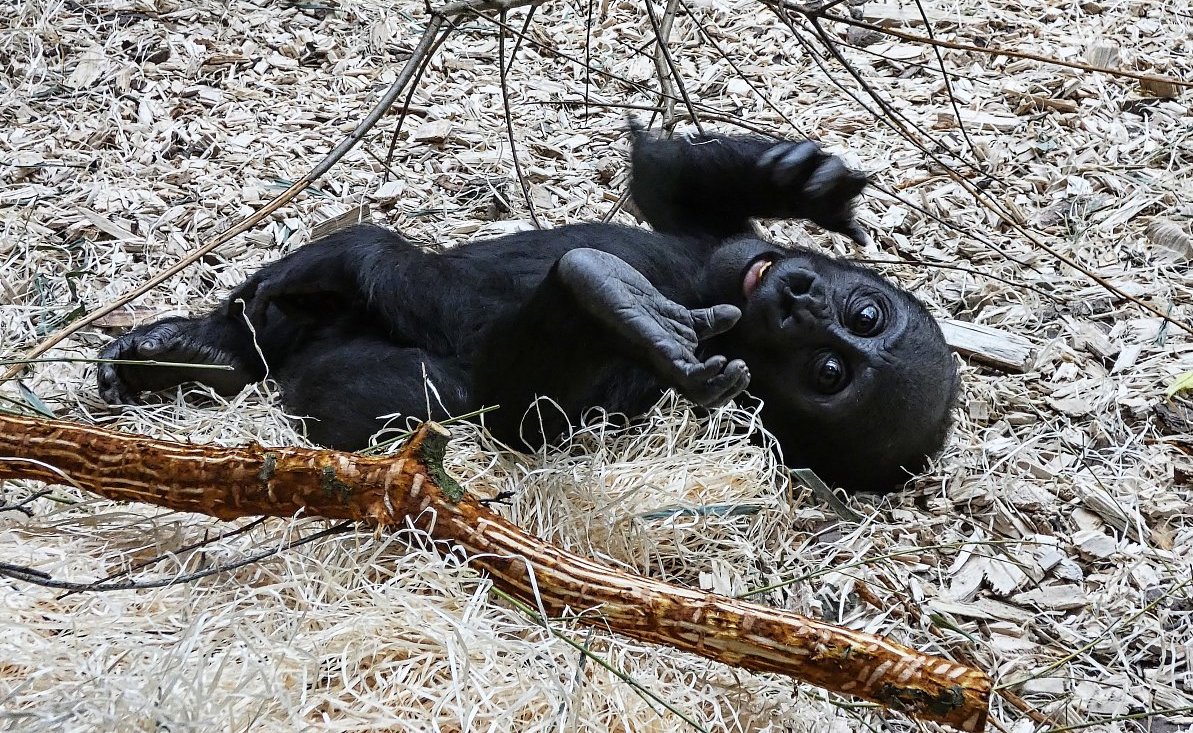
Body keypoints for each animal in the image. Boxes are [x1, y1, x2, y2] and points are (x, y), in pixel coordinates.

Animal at [100, 131, 959, 494]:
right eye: (864, 314)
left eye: (828, 369)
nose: (800, 297)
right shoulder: (727, 248)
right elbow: (666, 192)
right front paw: (789, 176)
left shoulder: (670, 391)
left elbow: (513, 403)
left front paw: (615, 306)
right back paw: (197, 351)